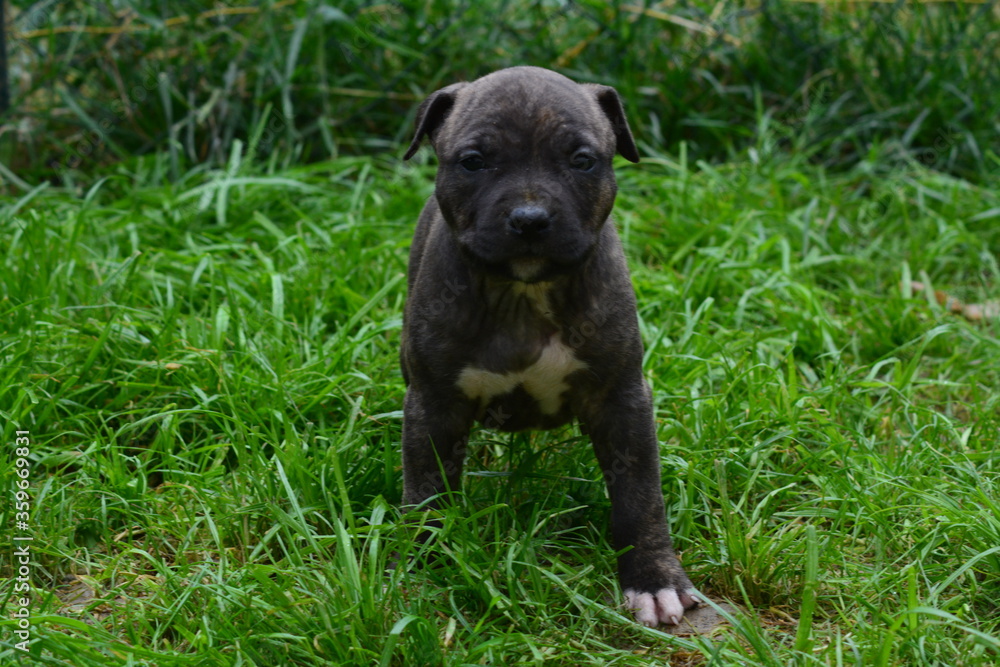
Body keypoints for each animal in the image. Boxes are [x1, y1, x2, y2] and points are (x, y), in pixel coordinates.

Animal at [400, 66, 699, 627]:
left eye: (582, 160)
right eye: (474, 161)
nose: (530, 218)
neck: (524, 294)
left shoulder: (622, 399)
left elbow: (640, 496)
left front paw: (654, 579)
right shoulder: (434, 403)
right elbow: (427, 487)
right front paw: (424, 563)